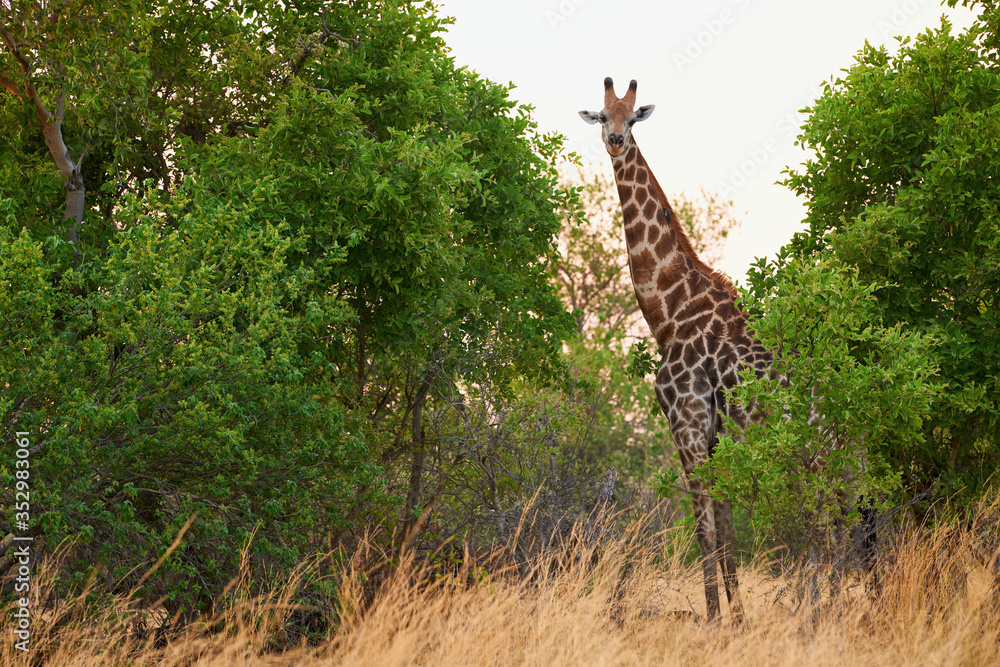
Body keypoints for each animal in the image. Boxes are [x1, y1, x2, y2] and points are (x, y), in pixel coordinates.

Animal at [580, 79, 772, 628]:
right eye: (602, 116)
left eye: (632, 118)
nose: (617, 141)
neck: (668, 312)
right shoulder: (714, 435)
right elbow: (724, 528)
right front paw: (738, 618)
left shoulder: (686, 421)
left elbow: (703, 527)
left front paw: (713, 620)